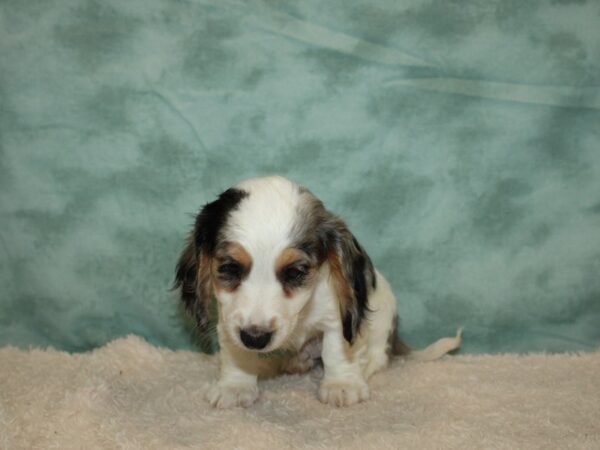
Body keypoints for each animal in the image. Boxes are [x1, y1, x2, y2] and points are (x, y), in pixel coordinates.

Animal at [173, 176, 460, 408]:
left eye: (295, 272)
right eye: (229, 268)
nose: (256, 338)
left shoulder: (338, 318)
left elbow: (337, 350)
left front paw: (342, 385)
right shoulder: (228, 320)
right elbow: (236, 353)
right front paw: (234, 386)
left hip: (383, 316)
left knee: (377, 355)